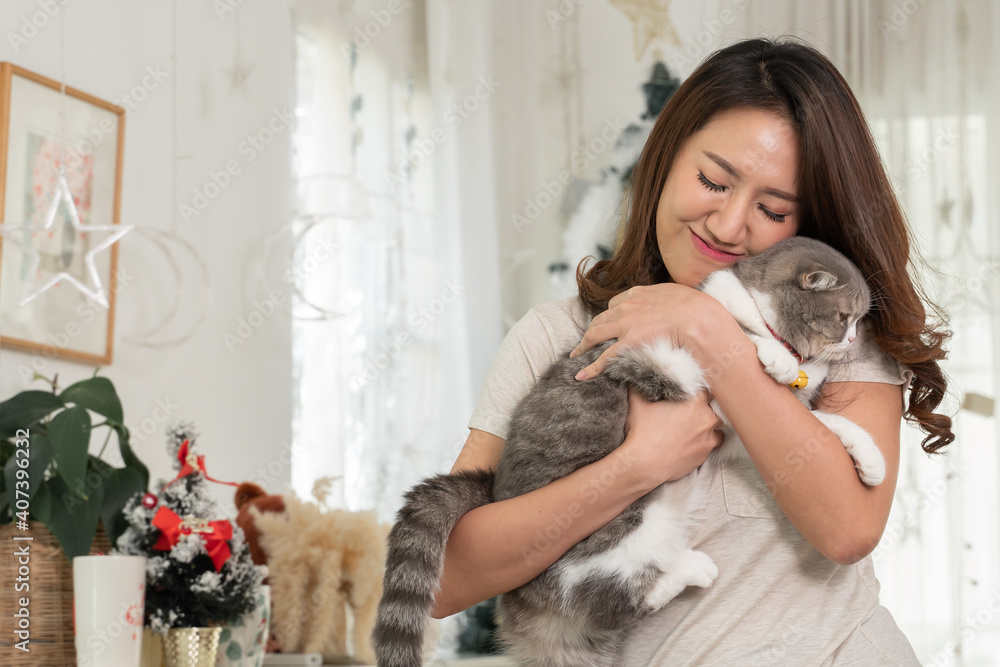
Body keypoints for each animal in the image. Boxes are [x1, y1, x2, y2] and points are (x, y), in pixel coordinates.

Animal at [372, 236, 888, 667]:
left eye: (859, 321)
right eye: (844, 317)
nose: (853, 341)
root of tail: (496, 492)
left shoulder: (747, 431)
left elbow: (828, 425)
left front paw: (870, 461)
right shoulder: (688, 352)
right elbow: (738, 337)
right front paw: (771, 354)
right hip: (625, 524)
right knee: (603, 594)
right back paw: (693, 569)